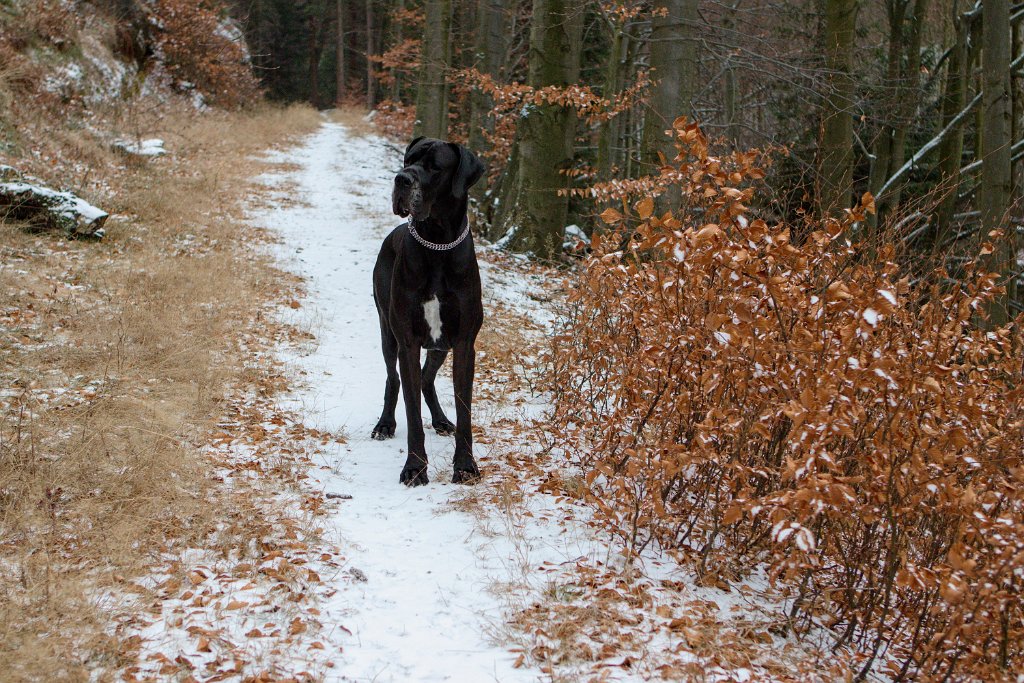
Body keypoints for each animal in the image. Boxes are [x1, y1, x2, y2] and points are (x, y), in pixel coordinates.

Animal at [372, 136, 487, 485]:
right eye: (408, 159)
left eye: (435, 166)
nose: (401, 179)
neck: (437, 243)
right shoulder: (408, 341)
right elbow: (411, 412)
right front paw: (414, 467)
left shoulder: (463, 343)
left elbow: (465, 411)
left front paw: (465, 466)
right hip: (387, 330)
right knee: (393, 377)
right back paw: (385, 423)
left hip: (440, 345)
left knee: (426, 379)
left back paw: (440, 420)